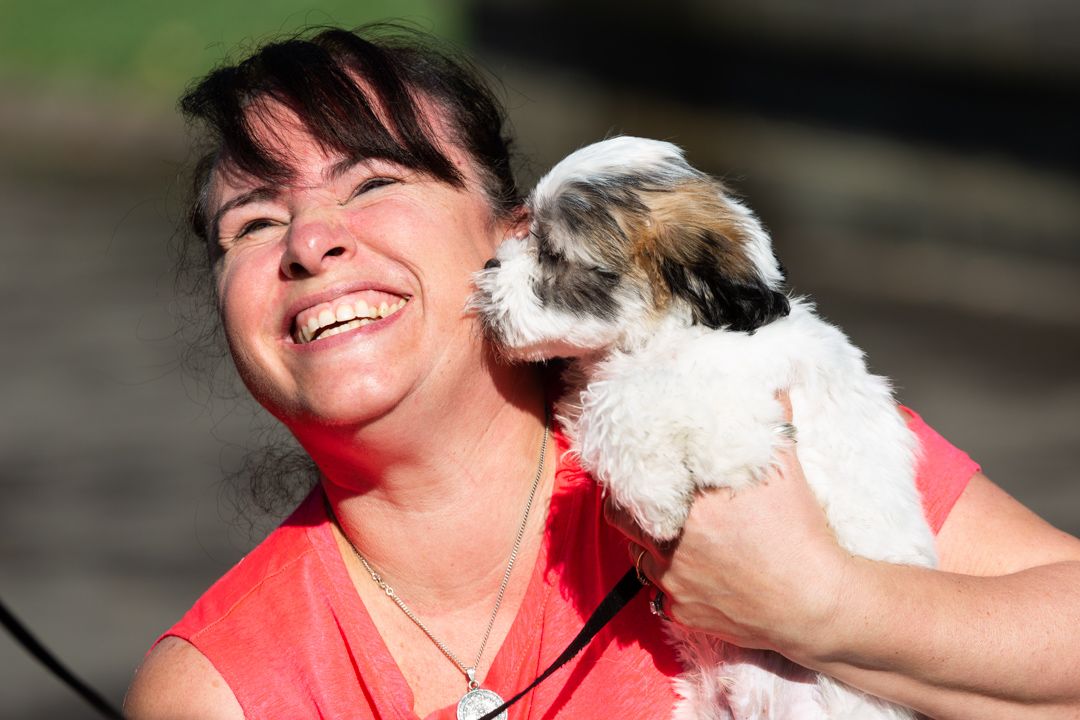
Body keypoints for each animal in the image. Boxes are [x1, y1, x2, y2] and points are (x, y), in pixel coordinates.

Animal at [473, 136, 937, 720]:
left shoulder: (746, 422)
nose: (489, 264)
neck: (676, 332)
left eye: (553, 255)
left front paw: (656, 498)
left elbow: (621, 397)